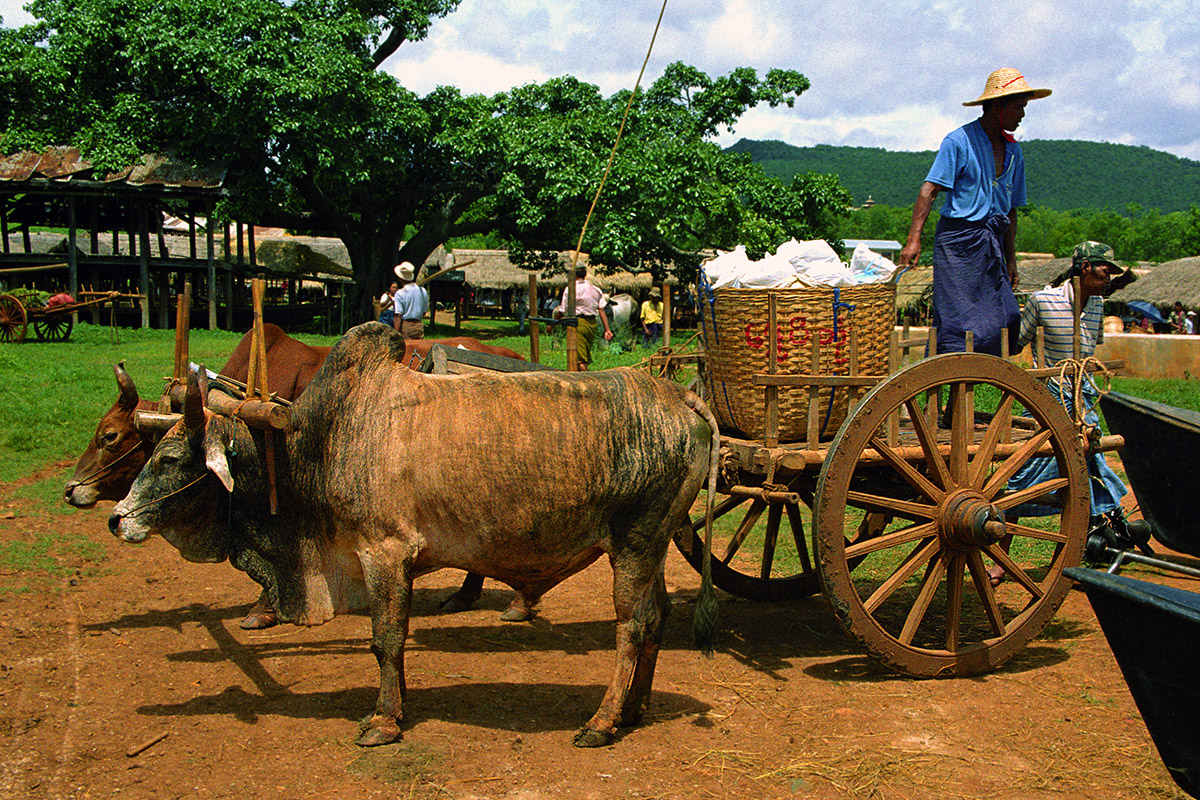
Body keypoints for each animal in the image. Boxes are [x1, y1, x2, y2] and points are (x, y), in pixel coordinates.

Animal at [110, 321, 710, 748]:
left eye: (169, 458)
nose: (118, 518)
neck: (318, 441)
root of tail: (678, 396)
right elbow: (390, 642)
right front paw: (396, 707)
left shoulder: (383, 553)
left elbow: (386, 640)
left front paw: (383, 720)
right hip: (656, 545)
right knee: (658, 615)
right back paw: (635, 708)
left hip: (634, 542)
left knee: (632, 625)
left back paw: (602, 722)